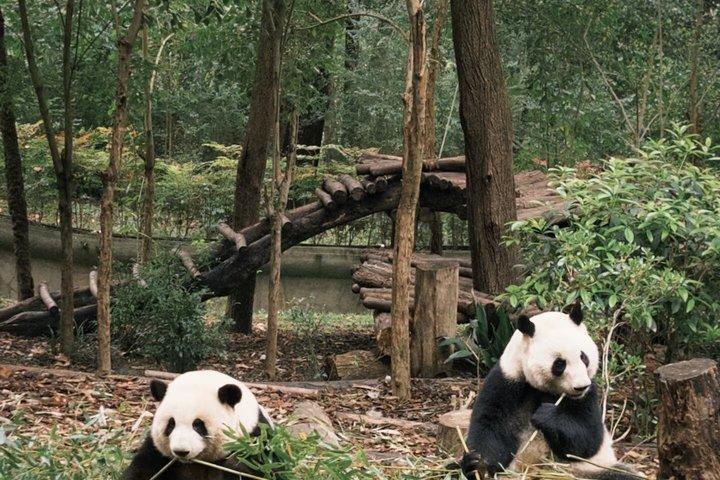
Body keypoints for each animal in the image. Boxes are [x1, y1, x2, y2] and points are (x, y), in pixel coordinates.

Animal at [122, 370, 274, 480]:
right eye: (171, 425)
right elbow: (142, 470)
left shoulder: (256, 436)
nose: (181, 451)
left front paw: (234, 466)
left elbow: (265, 467)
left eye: (198, 425)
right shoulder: (155, 451)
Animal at [461, 304, 638, 480]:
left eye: (584, 357)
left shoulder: (589, 394)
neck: (544, 389)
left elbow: (588, 438)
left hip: (590, 468)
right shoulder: (507, 380)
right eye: (560, 363)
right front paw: (478, 465)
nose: (581, 386)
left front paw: (546, 415)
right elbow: (491, 426)